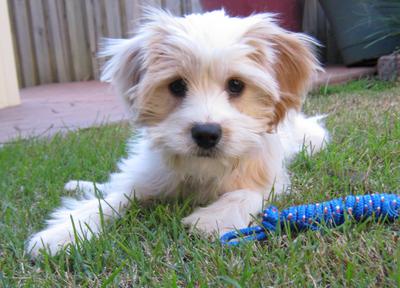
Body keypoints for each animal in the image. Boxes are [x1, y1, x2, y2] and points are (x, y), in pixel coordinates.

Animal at [26, 9, 330, 256]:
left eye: (236, 85)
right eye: (176, 86)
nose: (206, 133)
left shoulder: (267, 177)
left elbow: (248, 194)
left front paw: (211, 219)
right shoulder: (151, 176)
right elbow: (114, 198)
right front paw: (62, 233)